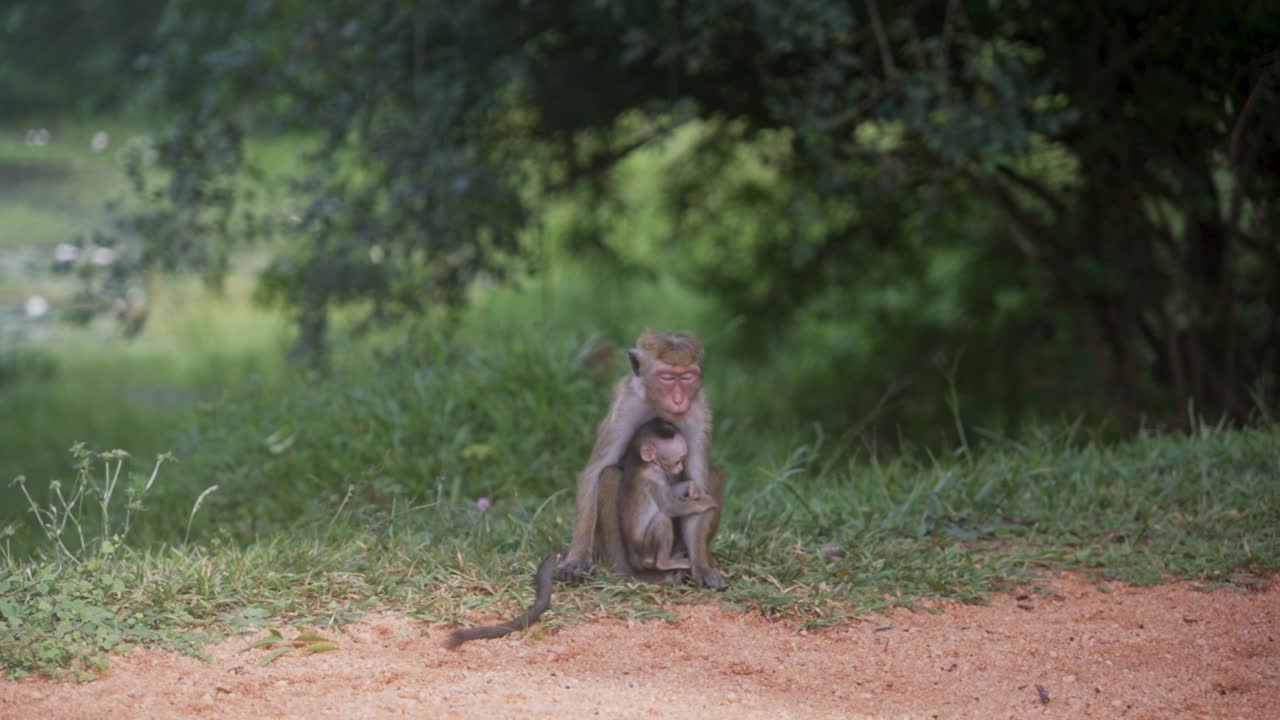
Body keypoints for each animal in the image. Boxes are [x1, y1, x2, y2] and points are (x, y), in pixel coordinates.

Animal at [620, 419, 719, 572]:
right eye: (678, 461)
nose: (681, 468)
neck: (646, 464)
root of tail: (634, 559)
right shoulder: (655, 478)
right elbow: (669, 507)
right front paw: (704, 503)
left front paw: (691, 486)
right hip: (646, 550)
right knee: (662, 519)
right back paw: (665, 563)